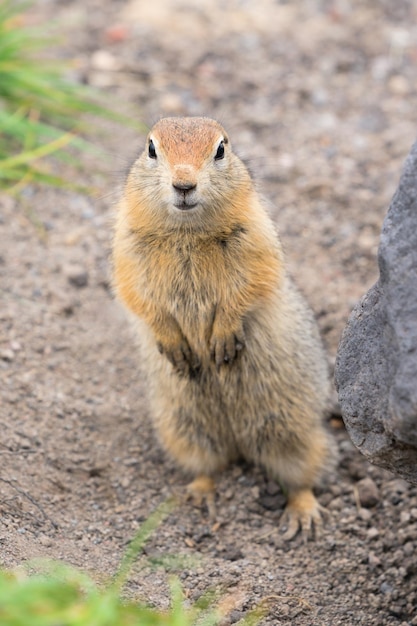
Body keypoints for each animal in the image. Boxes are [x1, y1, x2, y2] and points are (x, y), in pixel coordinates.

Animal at [112, 119, 334, 540]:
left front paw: (222, 340)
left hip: (292, 426)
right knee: (208, 465)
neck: (186, 231)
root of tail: (239, 442)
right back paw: (200, 494)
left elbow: (251, 284)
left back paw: (303, 515)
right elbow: (138, 295)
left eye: (220, 150)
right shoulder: (127, 248)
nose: (184, 184)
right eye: (151, 148)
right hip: (182, 427)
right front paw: (177, 346)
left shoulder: (256, 236)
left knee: (305, 471)